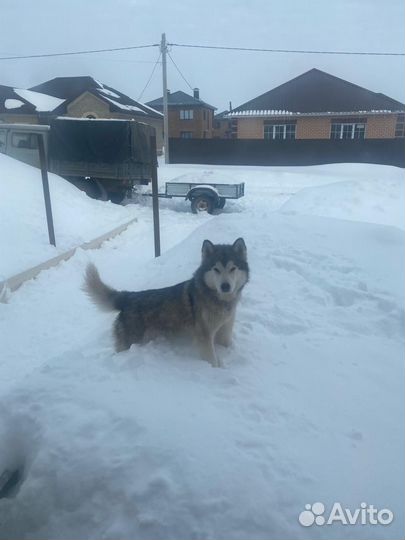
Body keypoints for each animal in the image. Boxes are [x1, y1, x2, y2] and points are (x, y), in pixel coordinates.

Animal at [83, 239, 248, 370]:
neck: (220, 300)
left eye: (233, 268)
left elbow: (226, 343)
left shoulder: (225, 330)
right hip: (129, 342)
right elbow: (212, 360)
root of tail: (128, 297)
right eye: (216, 269)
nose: (225, 286)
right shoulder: (204, 336)